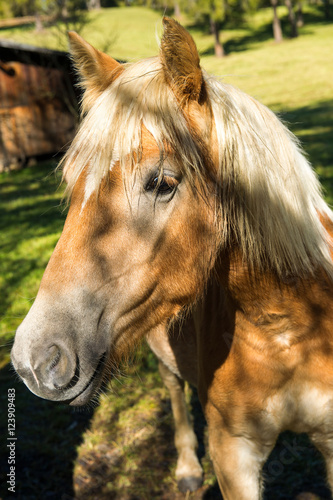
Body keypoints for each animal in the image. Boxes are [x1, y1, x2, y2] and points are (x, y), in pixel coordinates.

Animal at [10, 17, 332, 498]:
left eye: (162, 182)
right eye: (72, 181)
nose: (34, 361)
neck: (292, 328)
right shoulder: (233, 453)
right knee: (174, 392)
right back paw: (185, 468)